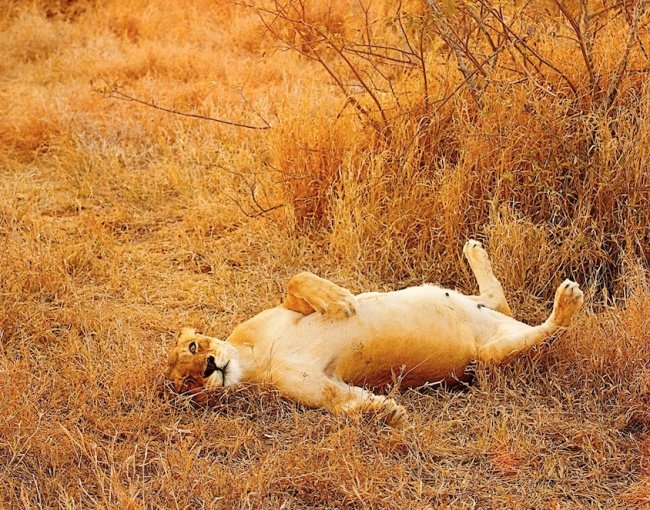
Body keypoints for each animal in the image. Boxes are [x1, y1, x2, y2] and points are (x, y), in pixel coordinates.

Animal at [166, 241, 584, 428]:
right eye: (188, 386)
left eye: (192, 346)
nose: (208, 368)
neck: (253, 358)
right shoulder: (309, 385)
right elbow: (342, 403)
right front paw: (386, 410)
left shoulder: (278, 313)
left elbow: (296, 279)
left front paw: (340, 301)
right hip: (487, 357)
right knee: (540, 330)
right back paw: (567, 303)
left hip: (480, 311)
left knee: (500, 300)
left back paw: (475, 249)